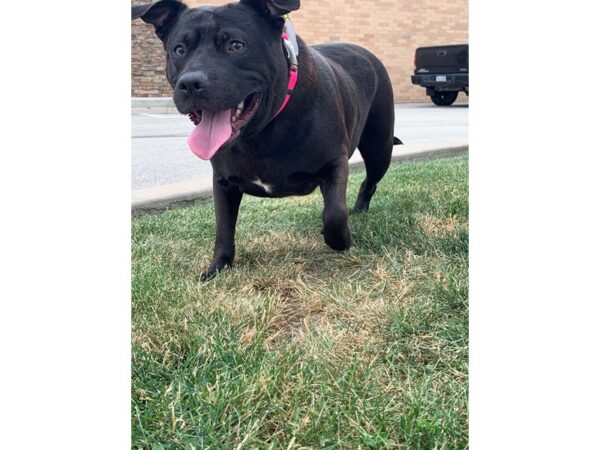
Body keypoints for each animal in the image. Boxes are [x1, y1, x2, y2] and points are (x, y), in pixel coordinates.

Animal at [133, 0, 400, 282]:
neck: (259, 133)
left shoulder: (334, 163)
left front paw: (342, 240)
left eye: (236, 45)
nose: (191, 83)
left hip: (379, 148)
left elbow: (335, 214)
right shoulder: (223, 182)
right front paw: (217, 266)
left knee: (369, 182)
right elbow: (223, 227)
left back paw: (359, 209)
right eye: (179, 50)